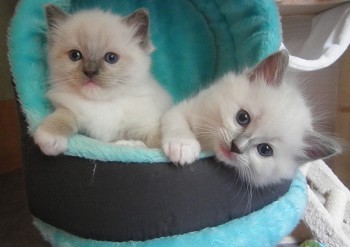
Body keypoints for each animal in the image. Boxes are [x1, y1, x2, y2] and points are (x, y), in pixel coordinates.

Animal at [33, 4, 173, 155]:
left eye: (111, 58)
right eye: (75, 55)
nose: (90, 72)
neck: (102, 103)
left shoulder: (145, 126)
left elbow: (157, 140)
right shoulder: (69, 110)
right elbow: (62, 117)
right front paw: (49, 138)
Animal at [162, 51, 342, 188]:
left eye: (265, 150)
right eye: (243, 118)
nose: (235, 147)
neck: (209, 144)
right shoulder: (185, 108)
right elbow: (177, 122)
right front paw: (182, 146)